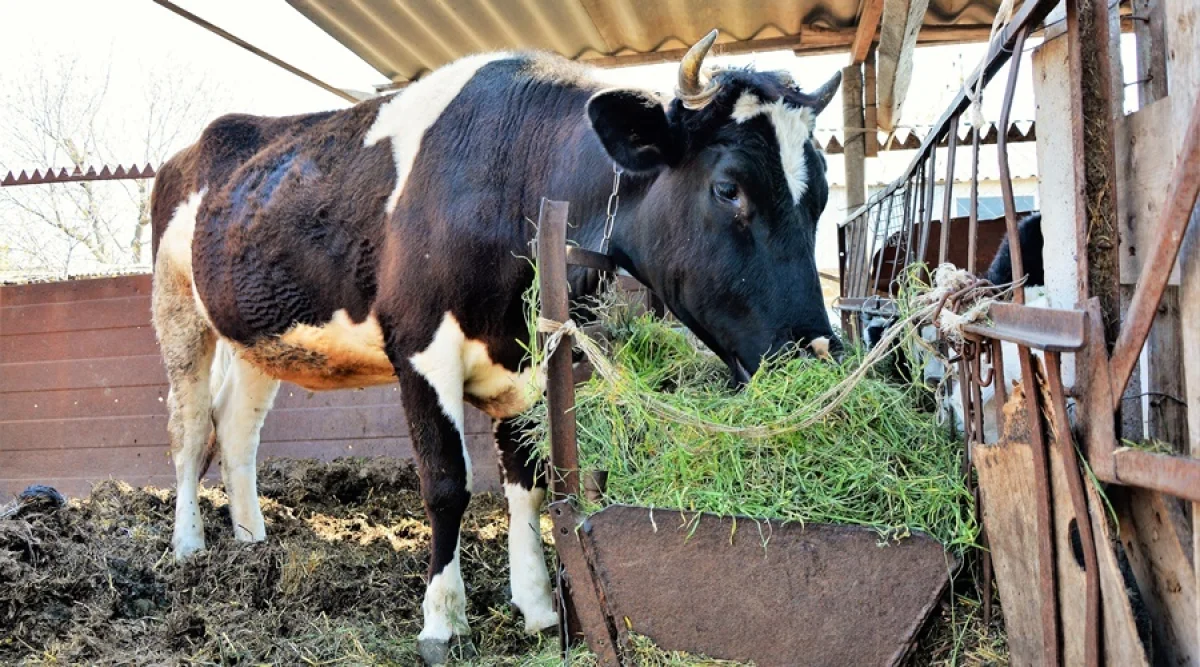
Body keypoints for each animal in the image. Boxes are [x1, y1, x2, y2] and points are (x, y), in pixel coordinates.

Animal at [150, 31, 840, 662]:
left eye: (823, 196)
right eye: (728, 189)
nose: (815, 350)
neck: (512, 178)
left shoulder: (525, 362)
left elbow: (527, 483)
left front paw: (536, 606)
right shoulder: (419, 348)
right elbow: (446, 483)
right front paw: (442, 622)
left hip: (259, 338)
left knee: (237, 430)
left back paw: (252, 542)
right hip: (177, 308)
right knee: (190, 429)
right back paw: (189, 548)